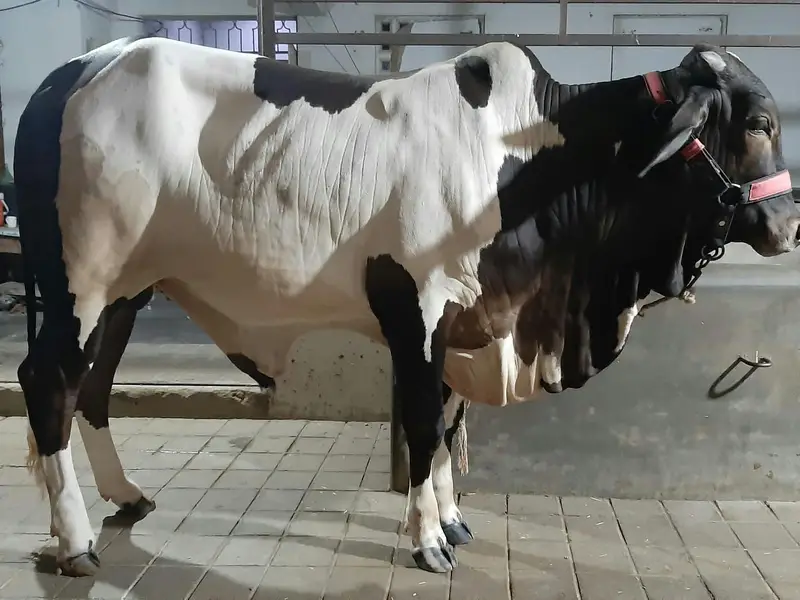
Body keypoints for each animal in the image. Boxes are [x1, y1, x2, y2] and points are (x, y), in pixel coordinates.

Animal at [13, 35, 799, 577]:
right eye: (759, 123)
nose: (790, 224)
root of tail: (72, 70)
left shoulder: (469, 323)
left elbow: (450, 426)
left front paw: (452, 521)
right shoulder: (417, 310)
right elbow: (424, 426)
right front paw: (426, 539)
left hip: (128, 291)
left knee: (95, 389)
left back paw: (126, 496)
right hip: (81, 284)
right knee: (48, 382)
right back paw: (75, 539)